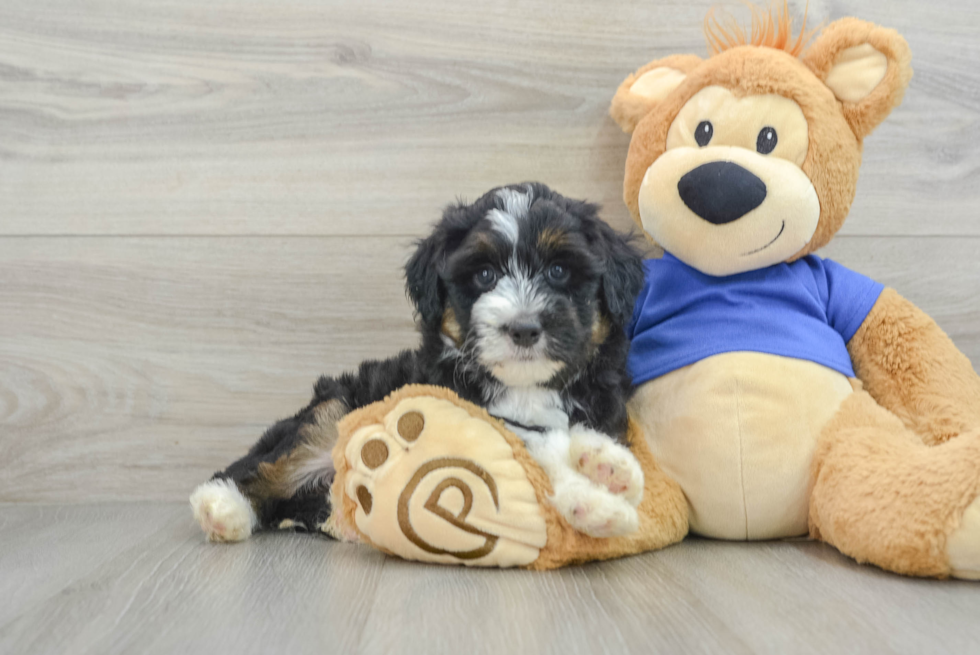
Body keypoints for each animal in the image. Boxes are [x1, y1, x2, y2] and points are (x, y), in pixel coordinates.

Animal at [191, 181, 652, 544]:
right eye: (484, 275)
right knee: (262, 466)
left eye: (558, 270)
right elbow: (523, 441)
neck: (525, 387)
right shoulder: (455, 410)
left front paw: (604, 461)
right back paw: (222, 507)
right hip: (329, 415)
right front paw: (594, 498)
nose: (523, 328)